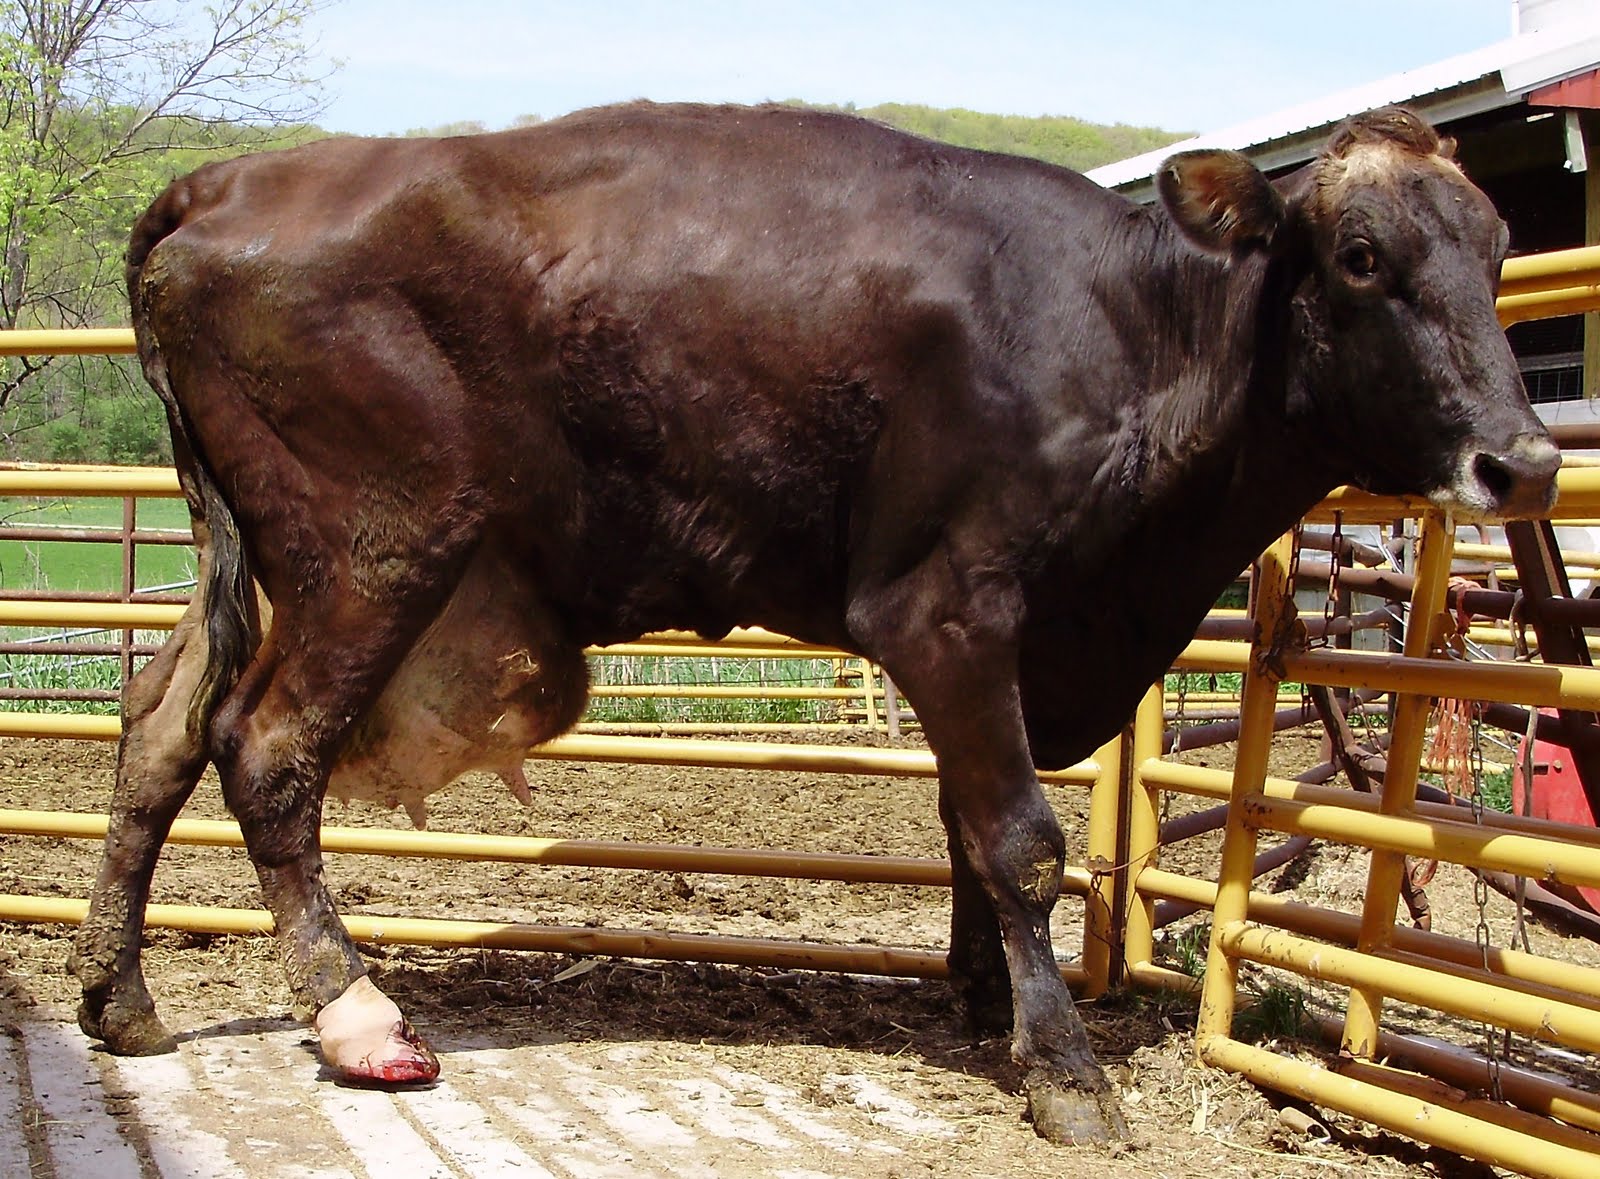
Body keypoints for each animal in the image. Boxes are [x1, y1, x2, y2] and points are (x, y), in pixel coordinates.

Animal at [69, 102, 1557, 1146]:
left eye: (1496, 250)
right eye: (1361, 259)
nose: (1526, 463)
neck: (1132, 330)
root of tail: (229, 180)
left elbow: (969, 828)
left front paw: (987, 1003)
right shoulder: (952, 612)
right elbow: (1020, 841)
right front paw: (1065, 1070)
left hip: (264, 564)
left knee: (160, 724)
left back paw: (119, 996)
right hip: (377, 552)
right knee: (266, 749)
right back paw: (357, 1014)